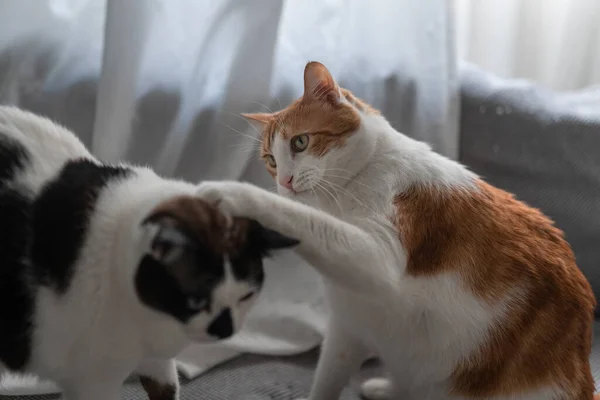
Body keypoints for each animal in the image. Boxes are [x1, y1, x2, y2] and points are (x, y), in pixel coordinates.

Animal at [0, 107, 298, 400]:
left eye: (247, 296)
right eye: (195, 300)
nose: (224, 328)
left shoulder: (157, 362)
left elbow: (166, 389)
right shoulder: (95, 382)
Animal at [197, 62, 596, 400]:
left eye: (300, 142)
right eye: (270, 160)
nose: (284, 182)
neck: (357, 182)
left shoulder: (377, 256)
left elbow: (301, 218)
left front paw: (230, 192)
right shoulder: (347, 327)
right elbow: (325, 382)